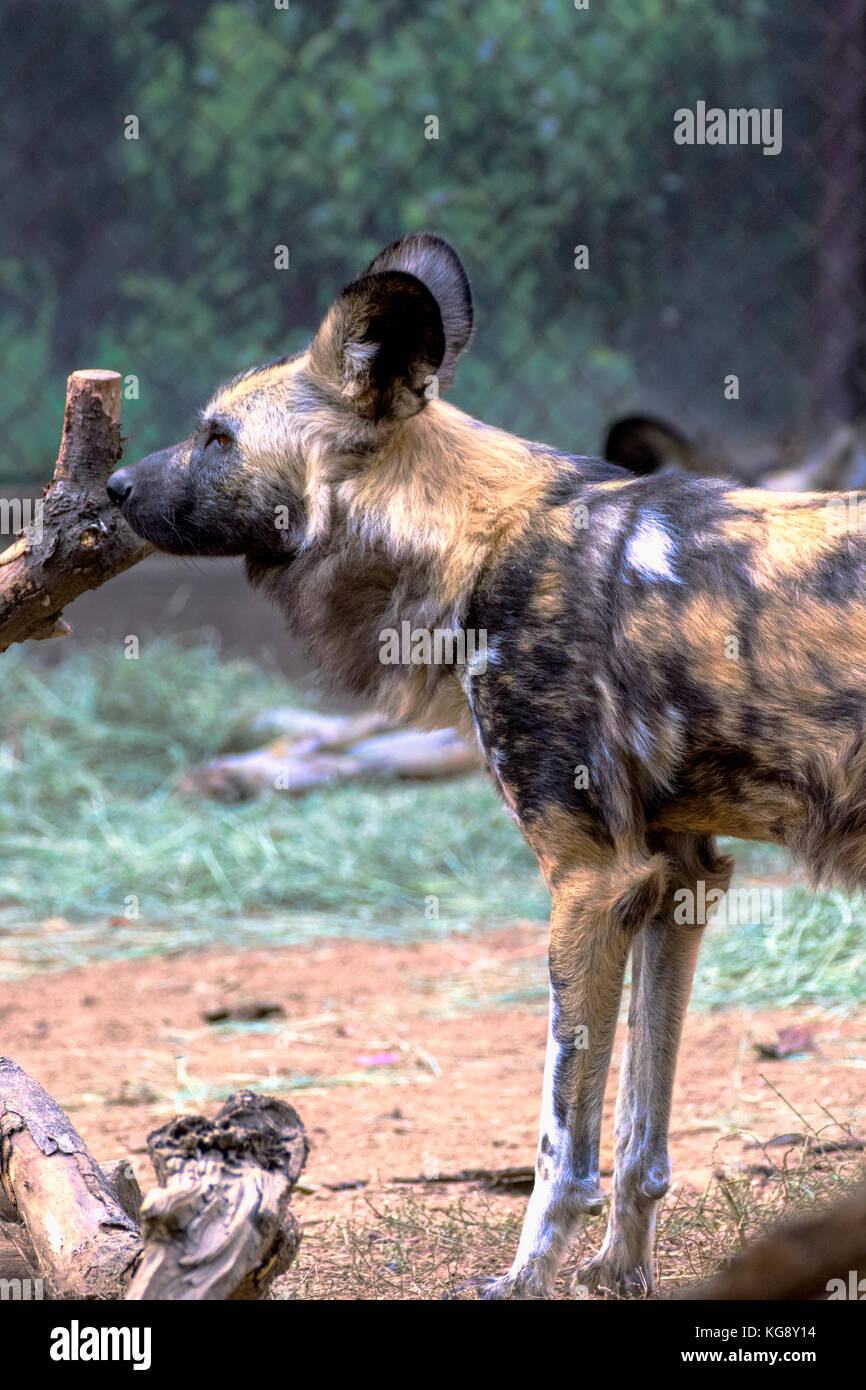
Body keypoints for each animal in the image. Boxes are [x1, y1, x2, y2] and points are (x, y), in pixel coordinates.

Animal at [109, 233, 866, 1295]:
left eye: (218, 437)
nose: (114, 490)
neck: (477, 539)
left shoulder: (589, 879)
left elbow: (562, 1149)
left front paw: (526, 1277)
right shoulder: (677, 878)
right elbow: (640, 1137)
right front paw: (618, 1272)